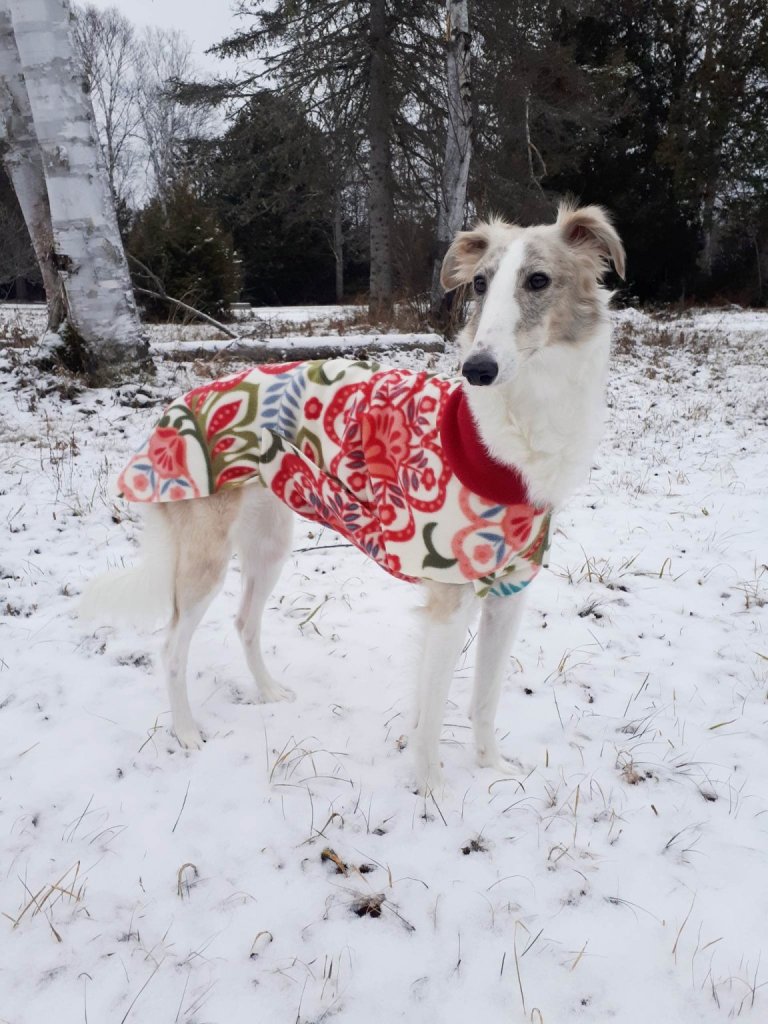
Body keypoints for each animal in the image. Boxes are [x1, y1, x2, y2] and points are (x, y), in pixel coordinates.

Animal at [82, 201, 626, 790]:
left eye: (539, 280)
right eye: (481, 283)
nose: (477, 370)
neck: (514, 432)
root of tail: (174, 407)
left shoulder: (510, 592)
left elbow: (484, 700)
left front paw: (493, 770)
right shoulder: (449, 600)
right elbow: (431, 718)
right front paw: (434, 794)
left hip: (270, 543)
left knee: (245, 622)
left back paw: (268, 692)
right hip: (205, 559)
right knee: (170, 646)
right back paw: (185, 731)